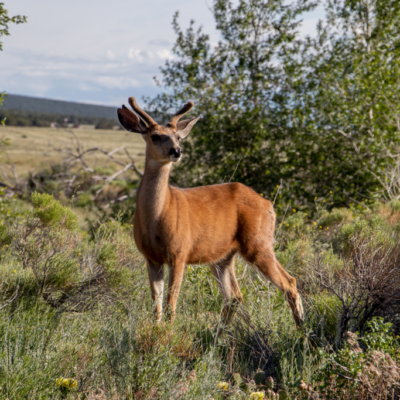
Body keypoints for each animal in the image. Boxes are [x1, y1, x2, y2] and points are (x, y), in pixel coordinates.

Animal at [117, 97, 304, 332]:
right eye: (155, 136)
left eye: (178, 136)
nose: (177, 151)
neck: (157, 217)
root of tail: (268, 204)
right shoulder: (151, 257)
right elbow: (156, 306)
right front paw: (157, 331)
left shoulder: (180, 252)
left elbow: (170, 304)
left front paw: (167, 335)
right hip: (223, 258)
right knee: (235, 296)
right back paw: (219, 332)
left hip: (258, 243)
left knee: (289, 282)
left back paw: (302, 330)